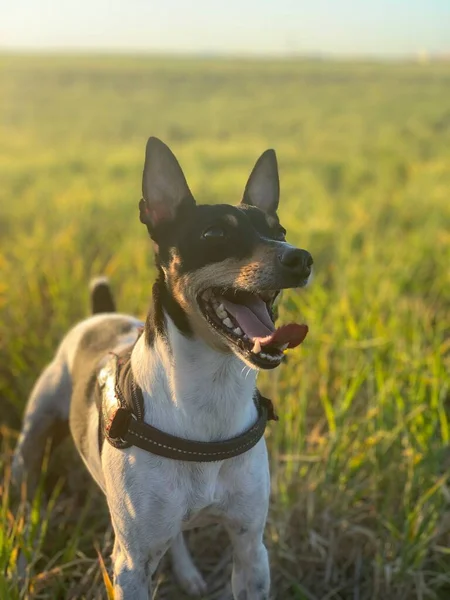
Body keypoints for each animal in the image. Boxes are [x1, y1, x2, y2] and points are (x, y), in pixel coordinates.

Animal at [11, 138, 312, 596]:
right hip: (30, 447)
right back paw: (20, 570)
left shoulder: (250, 548)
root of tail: (99, 313)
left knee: (176, 538)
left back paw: (188, 575)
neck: (211, 395)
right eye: (214, 234)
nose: (302, 258)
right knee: (24, 509)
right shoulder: (131, 565)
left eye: (280, 232)